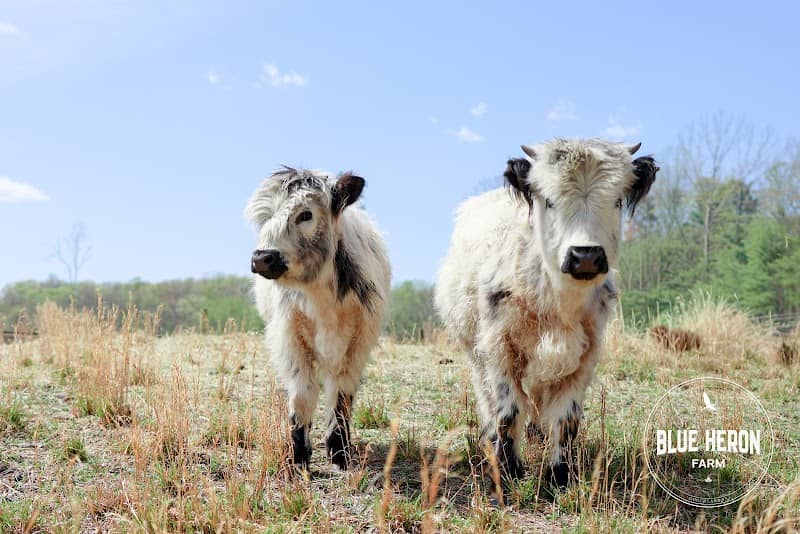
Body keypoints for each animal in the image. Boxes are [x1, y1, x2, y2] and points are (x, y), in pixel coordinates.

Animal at [245, 167, 391, 470]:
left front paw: (339, 452)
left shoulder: (358, 343)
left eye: (306, 214)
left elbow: (342, 395)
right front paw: (298, 456)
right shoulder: (289, 339)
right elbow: (302, 394)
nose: (262, 257)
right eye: (265, 216)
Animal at [435, 138, 657, 486]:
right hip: (474, 348)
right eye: (549, 201)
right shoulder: (499, 347)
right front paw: (508, 468)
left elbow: (567, 417)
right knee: (488, 396)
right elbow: (508, 409)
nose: (585, 256)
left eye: (617, 200)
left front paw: (560, 473)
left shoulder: (585, 354)